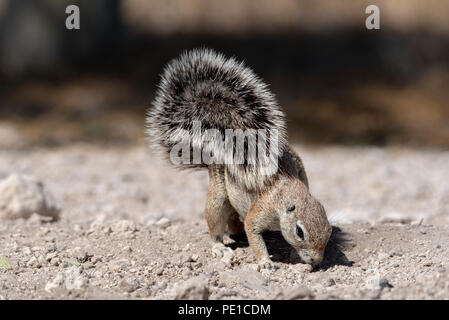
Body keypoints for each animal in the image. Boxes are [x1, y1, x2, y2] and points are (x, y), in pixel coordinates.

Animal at [146, 48, 328, 268]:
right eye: (299, 232)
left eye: (329, 230)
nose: (317, 261)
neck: (288, 194)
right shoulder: (262, 209)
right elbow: (253, 231)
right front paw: (265, 262)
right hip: (218, 198)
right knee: (216, 224)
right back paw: (218, 246)